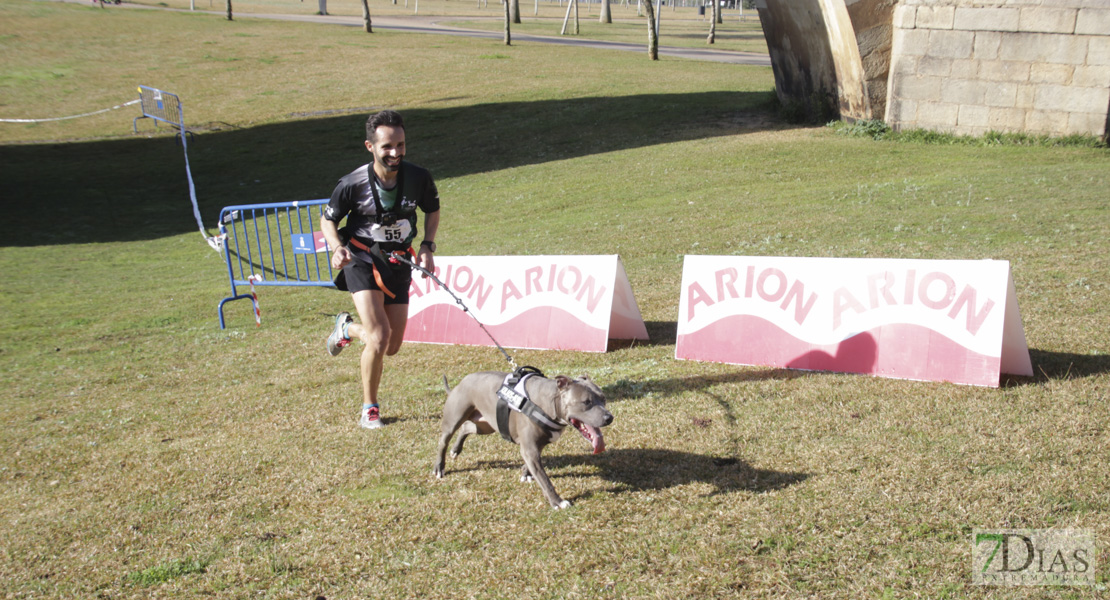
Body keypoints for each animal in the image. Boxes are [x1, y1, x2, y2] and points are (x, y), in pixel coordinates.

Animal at [432, 372, 612, 507]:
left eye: (603, 398)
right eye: (586, 402)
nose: (609, 417)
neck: (549, 402)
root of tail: (462, 381)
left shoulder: (535, 447)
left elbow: (532, 467)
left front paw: (526, 474)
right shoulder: (530, 449)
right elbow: (545, 480)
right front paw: (558, 502)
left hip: (487, 424)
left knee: (467, 427)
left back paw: (456, 450)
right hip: (454, 419)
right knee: (443, 441)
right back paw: (439, 467)